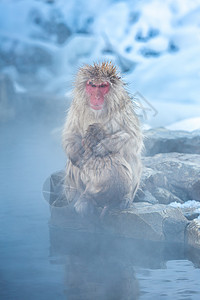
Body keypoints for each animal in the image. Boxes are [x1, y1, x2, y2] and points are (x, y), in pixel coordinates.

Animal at [62, 61, 142, 216]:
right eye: (92, 85)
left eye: (103, 86)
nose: (97, 97)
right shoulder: (76, 107)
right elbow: (70, 134)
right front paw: (78, 156)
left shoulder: (123, 109)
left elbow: (133, 138)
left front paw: (103, 147)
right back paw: (82, 200)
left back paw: (125, 198)